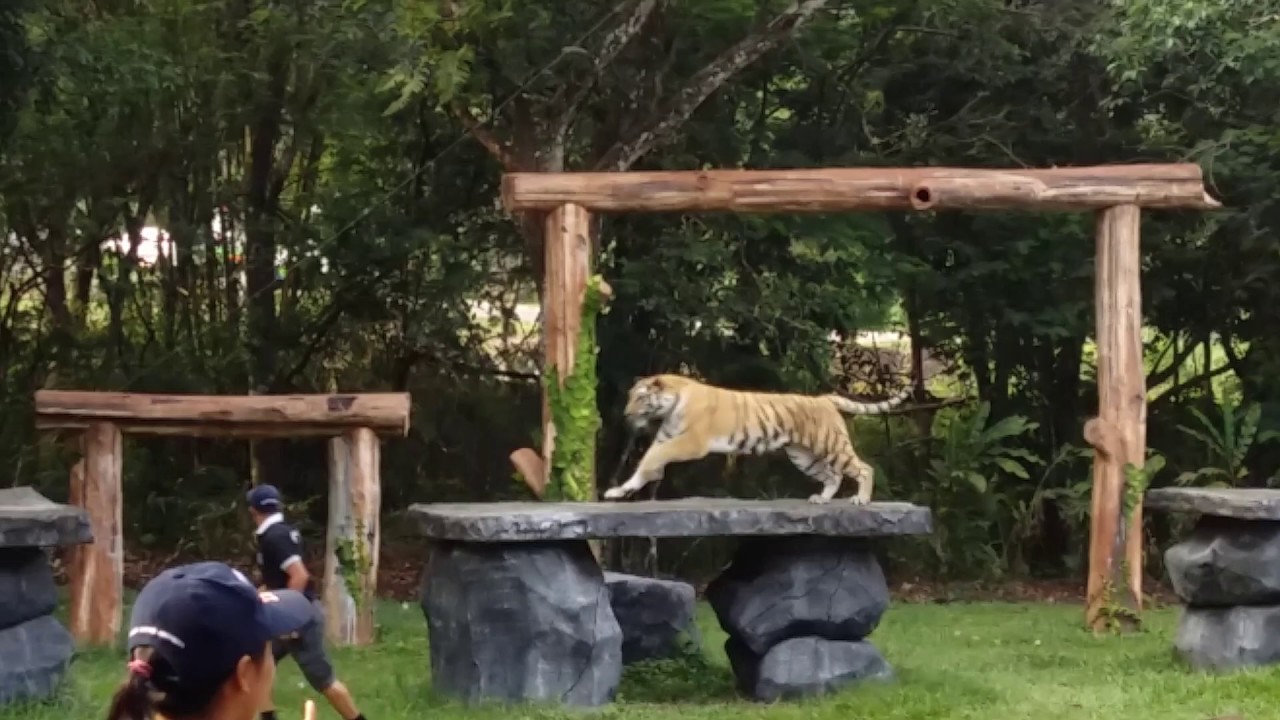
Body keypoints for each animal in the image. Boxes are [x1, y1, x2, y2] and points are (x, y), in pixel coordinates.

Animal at [599, 371, 911, 502]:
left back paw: (861, 500)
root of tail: (823, 398)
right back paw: (821, 500)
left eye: (640, 398)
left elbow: (655, 457)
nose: (625, 415)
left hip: (831, 445)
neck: (670, 407)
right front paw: (620, 490)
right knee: (832, 476)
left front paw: (649, 475)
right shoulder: (666, 437)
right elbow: (646, 460)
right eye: (630, 396)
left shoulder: (691, 442)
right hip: (803, 456)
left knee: (863, 468)